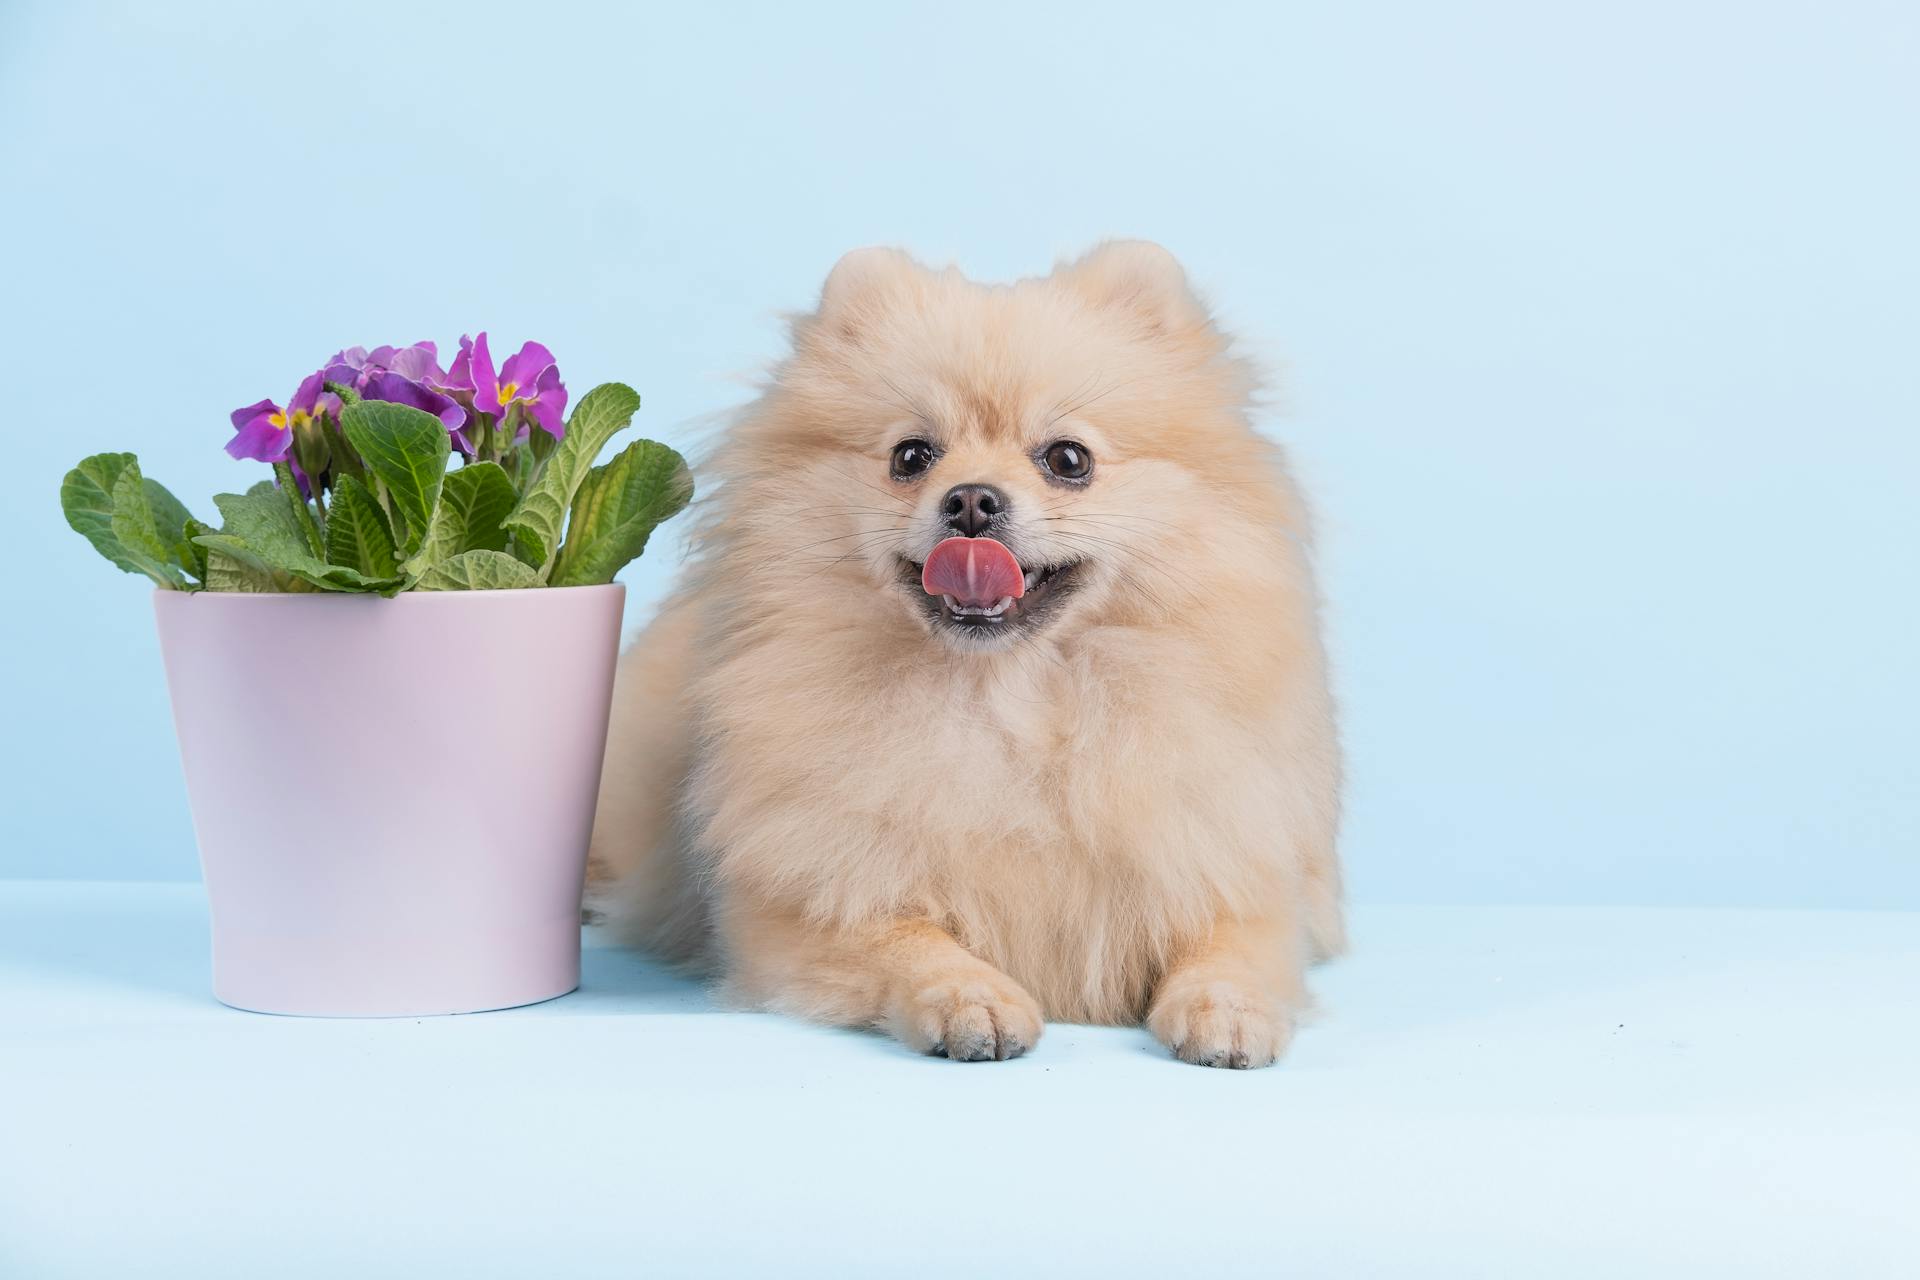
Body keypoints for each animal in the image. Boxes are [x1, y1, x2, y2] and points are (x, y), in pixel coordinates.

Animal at [591, 242, 1344, 1074]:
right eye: (912, 456)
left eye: (1068, 460)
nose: (973, 500)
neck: (1007, 701)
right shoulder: (803, 901)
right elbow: (903, 938)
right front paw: (970, 998)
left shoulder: (1229, 861)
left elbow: (1232, 943)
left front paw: (1226, 1009)